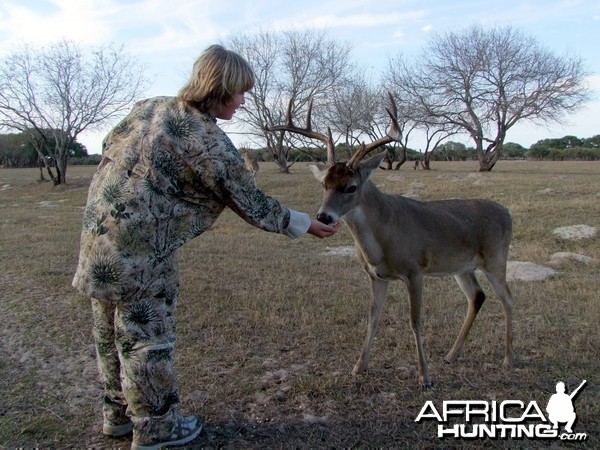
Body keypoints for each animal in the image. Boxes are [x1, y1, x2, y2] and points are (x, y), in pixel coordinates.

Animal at [270, 94, 512, 386]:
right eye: (323, 184)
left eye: (351, 187)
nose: (323, 216)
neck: (381, 242)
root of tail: (507, 212)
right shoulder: (376, 276)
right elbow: (373, 318)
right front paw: (359, 367)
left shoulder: (415, 271)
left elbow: (415, 321)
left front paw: (424, 377)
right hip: (462, 268)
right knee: (477, 296)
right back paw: (451, 355)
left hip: (496, 258)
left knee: (508, 300)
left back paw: (508, 359)